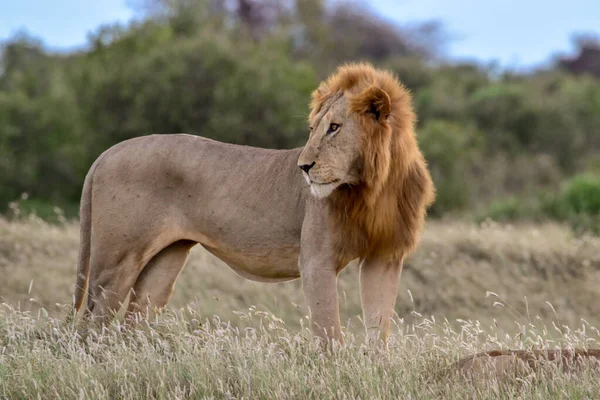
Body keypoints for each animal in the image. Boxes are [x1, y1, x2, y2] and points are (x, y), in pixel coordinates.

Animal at [71, 63, 436, 346]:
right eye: (313, 129)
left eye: (334, 127)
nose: (303, 167)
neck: (375, 187)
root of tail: (108, 152)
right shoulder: (316, 260)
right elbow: (329, 334)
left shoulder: (384, 256)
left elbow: (379, 329)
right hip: (115, 262)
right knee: (90, 325)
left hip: (164, 262)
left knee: (132, 323)